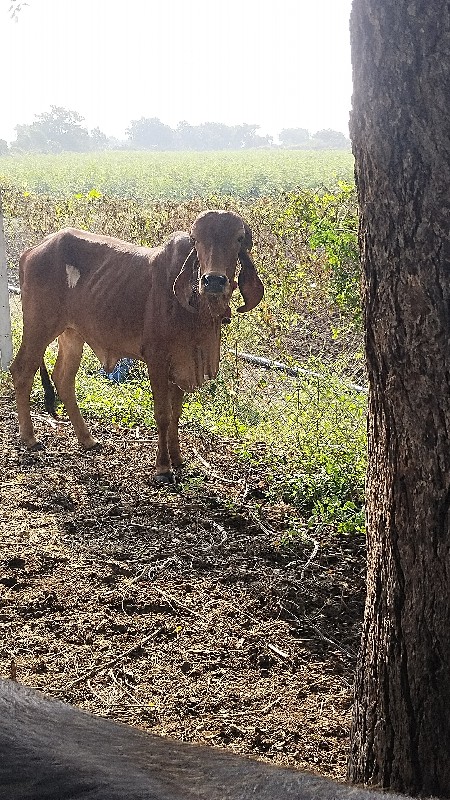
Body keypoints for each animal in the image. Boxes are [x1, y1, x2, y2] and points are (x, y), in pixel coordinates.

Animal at [10, 211, 264, 482]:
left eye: (238, 239)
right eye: (196, 240)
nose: (214, 281)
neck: (195, 308)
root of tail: (32, 251)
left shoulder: (183, 362)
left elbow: (176, 414)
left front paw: (178, 458)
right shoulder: (157, 360)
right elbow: (163, 415)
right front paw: (163, 467)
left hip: (72, 334)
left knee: (63, 378)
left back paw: (87, 439)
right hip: (39, 327)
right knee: (22, 371)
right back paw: (29, 437)